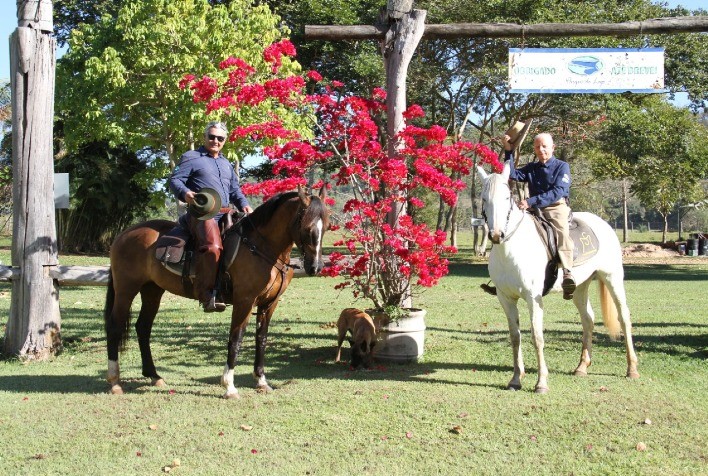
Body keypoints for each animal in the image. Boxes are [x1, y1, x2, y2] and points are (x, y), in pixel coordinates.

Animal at [104, 187, 329, 398]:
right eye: (308, 228)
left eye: (326, 227)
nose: (316, 267)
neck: (262, 247)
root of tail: (124, 235)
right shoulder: (244, 301)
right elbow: (236, 339)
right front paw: (229, 386)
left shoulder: (270, 303)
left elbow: (262, 338)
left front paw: (261, 380)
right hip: (126, 290)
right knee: (115, 327)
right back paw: (115, 382)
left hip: (152, 290)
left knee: (143, 328)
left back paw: (154, 376)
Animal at [477, 163, 639, 393]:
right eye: (484, 198)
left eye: (507, 197)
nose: (496, 234)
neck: (512, 248)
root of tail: (602, 223)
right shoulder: (505, 298)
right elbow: (515, 337)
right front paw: (516, 379)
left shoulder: (533, 298)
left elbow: (537, 337)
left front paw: (541, 383)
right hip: (580, 287)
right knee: (588, 319)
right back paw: (582, 367)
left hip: (612, 277)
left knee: (624, 317)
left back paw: (632, 369)